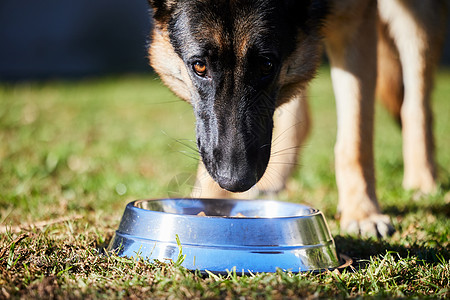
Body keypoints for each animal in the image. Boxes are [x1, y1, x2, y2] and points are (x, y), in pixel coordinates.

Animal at [148, 0, 446, 237]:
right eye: (199, 66)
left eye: (266, 65)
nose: (235, 182)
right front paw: (211, 199)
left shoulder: (355, 22)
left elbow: (356, 138)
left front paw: (362, 213)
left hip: (414, 19)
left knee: (416, 100)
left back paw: (423, 178)